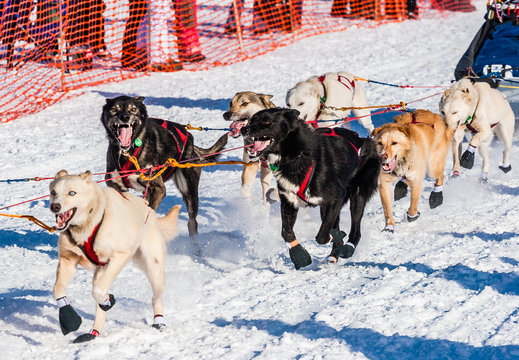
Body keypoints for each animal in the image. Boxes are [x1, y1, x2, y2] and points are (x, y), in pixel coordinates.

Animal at [48, 169, 182, 344]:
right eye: (53, 192)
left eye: (72, 193)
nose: (55, 206)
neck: (89, 222)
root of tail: (150, 211)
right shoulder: (67, 261)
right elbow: (57, 290)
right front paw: (68, 318)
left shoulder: (119, 257)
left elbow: (98, 292)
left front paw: (107, 300)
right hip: (101, 272)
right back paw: (93, 333)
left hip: (154, 269)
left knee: (156, 297)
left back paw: (159, 321)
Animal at [101, 95, 228, 236]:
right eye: (114, 109)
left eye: (133, 109)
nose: (124, 117)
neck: (128, 152)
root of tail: (191, 142)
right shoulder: (116, 185)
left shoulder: (158, 189)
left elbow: (148, 213)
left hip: (189, 190)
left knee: (192, 221)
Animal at [242, 108, 380, 268]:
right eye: (252, 120)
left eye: (266, 121)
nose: (244, 129)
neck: (296, 155)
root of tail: (365, 140)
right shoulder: (289, 202)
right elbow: (286, 233)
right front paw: (299, 255)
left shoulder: (336, 197)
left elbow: (322, 236)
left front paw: (333, 237)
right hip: (327, 207)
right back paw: (334, 254)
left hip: (357, 195)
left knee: (355, 230)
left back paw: (347, 248)